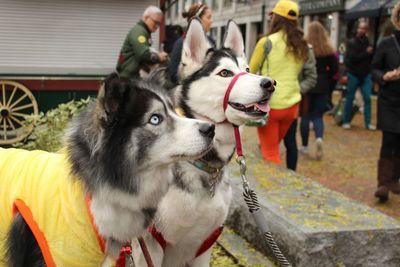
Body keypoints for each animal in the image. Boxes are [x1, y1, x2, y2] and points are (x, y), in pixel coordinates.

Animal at [134, 19, 276, 267]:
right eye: (225, 73)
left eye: (247, 70)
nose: (269, 83)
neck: (204, 165)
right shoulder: (151, 245)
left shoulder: (204, 244)